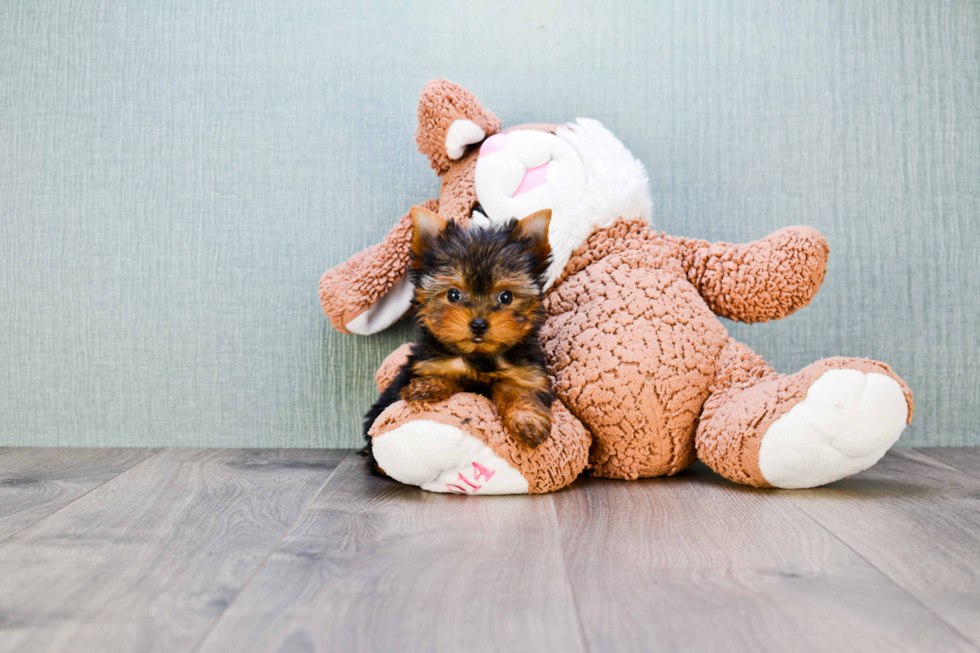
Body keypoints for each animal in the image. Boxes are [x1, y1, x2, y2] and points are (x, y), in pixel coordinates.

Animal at [364, 206, 556, 466]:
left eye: (506, 297)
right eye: (453, 294)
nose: (478, 324)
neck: (479, 356)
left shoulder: (526, 374)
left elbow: (519, 390)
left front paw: (527, 420)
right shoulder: (429, 364)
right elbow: (448, 378)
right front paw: (428, 387)